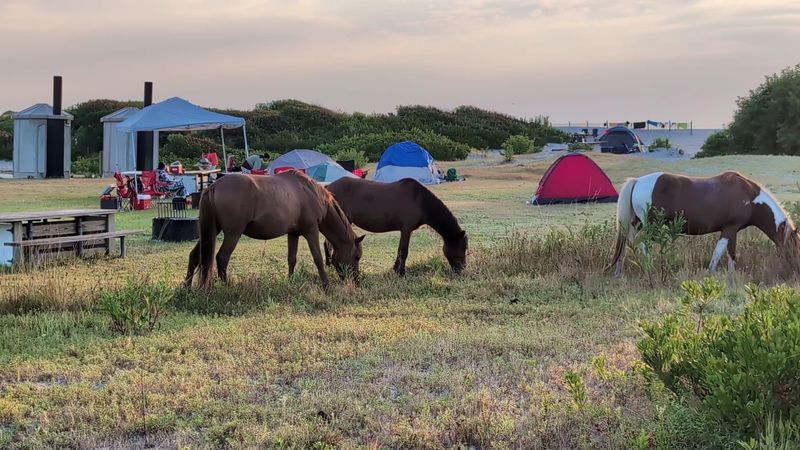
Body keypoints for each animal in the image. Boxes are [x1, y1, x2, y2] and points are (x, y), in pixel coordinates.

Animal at [185, 170, 365, 290]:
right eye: (356, 257)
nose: (356, 281)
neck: (312, 193)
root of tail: (213, 186)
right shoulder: (311, 231)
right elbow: (318, 259)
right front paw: (326, 286)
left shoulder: (293, 233)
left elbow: (292, 259)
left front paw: (290, 282)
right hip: (232, 233)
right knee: (222, 258)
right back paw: (226, 288)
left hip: (212, 231)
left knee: (194, 256)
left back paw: (187, 288)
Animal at [324, 177, 468, 275]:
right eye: (464, 248)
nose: (462, 269)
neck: (420, 200)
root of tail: (327, 187)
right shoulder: (407, 228)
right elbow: (404, 251)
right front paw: (401, 273)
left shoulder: (405, 230)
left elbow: (399, 250)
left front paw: (395, 269)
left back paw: (329, 266)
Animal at [609, 171, 799, 277]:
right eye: (796, 247)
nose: (796, 270)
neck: (749, 198)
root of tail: (637, 181)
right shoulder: (729, 228)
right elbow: (719, 251)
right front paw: (710, 273)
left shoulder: (733, 230)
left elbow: (731, 253)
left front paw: (731, 275)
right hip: (652, 225)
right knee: (642, 243)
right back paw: (650, 269)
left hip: (636, 223)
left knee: (626, 242)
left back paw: (619, 272)